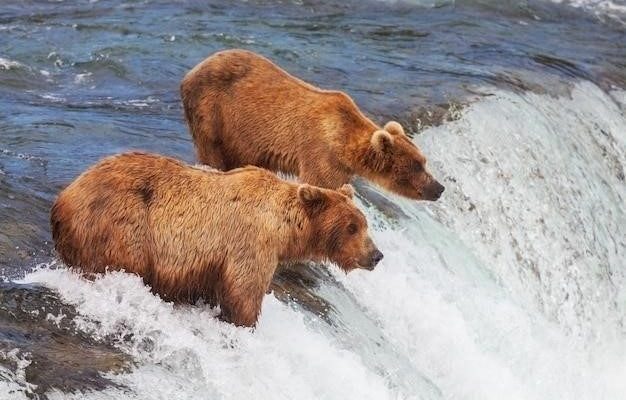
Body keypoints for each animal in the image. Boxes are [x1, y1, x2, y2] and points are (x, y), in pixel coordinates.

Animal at [50, 152, 380, 326]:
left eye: (364, 224)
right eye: (352, 226)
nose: (376, 255)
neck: (283, 229)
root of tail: (63, 199)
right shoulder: (250, 244)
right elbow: (244, 291)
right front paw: (245, 322)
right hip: (122, 226)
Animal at [180, 48, 444, 202]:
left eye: (423, 161)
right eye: (417, 165)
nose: (439, 187)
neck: (346, 145)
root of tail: (192, 70)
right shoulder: (321, 155)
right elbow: (320, 184)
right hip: (213, 111)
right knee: (212, 150)